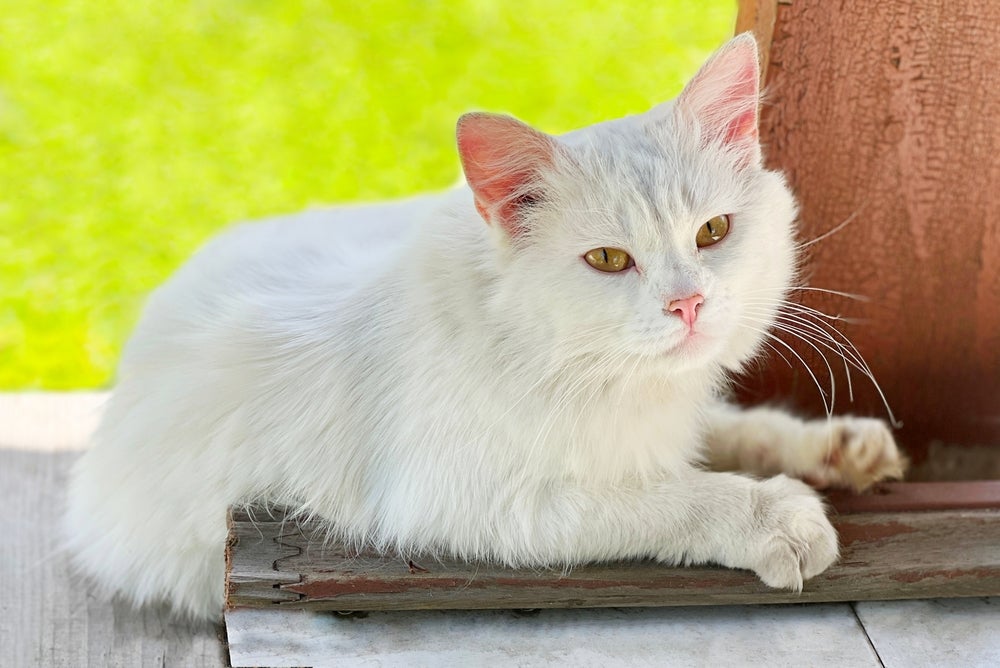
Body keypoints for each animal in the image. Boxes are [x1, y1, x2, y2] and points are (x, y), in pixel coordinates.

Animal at [64, 35, 908, 620]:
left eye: (713, 233)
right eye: (609, 259)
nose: (688, 304)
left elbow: (729, 432)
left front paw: (836, 449)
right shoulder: (480, 503)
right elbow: (668, 495)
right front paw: (773, 515)